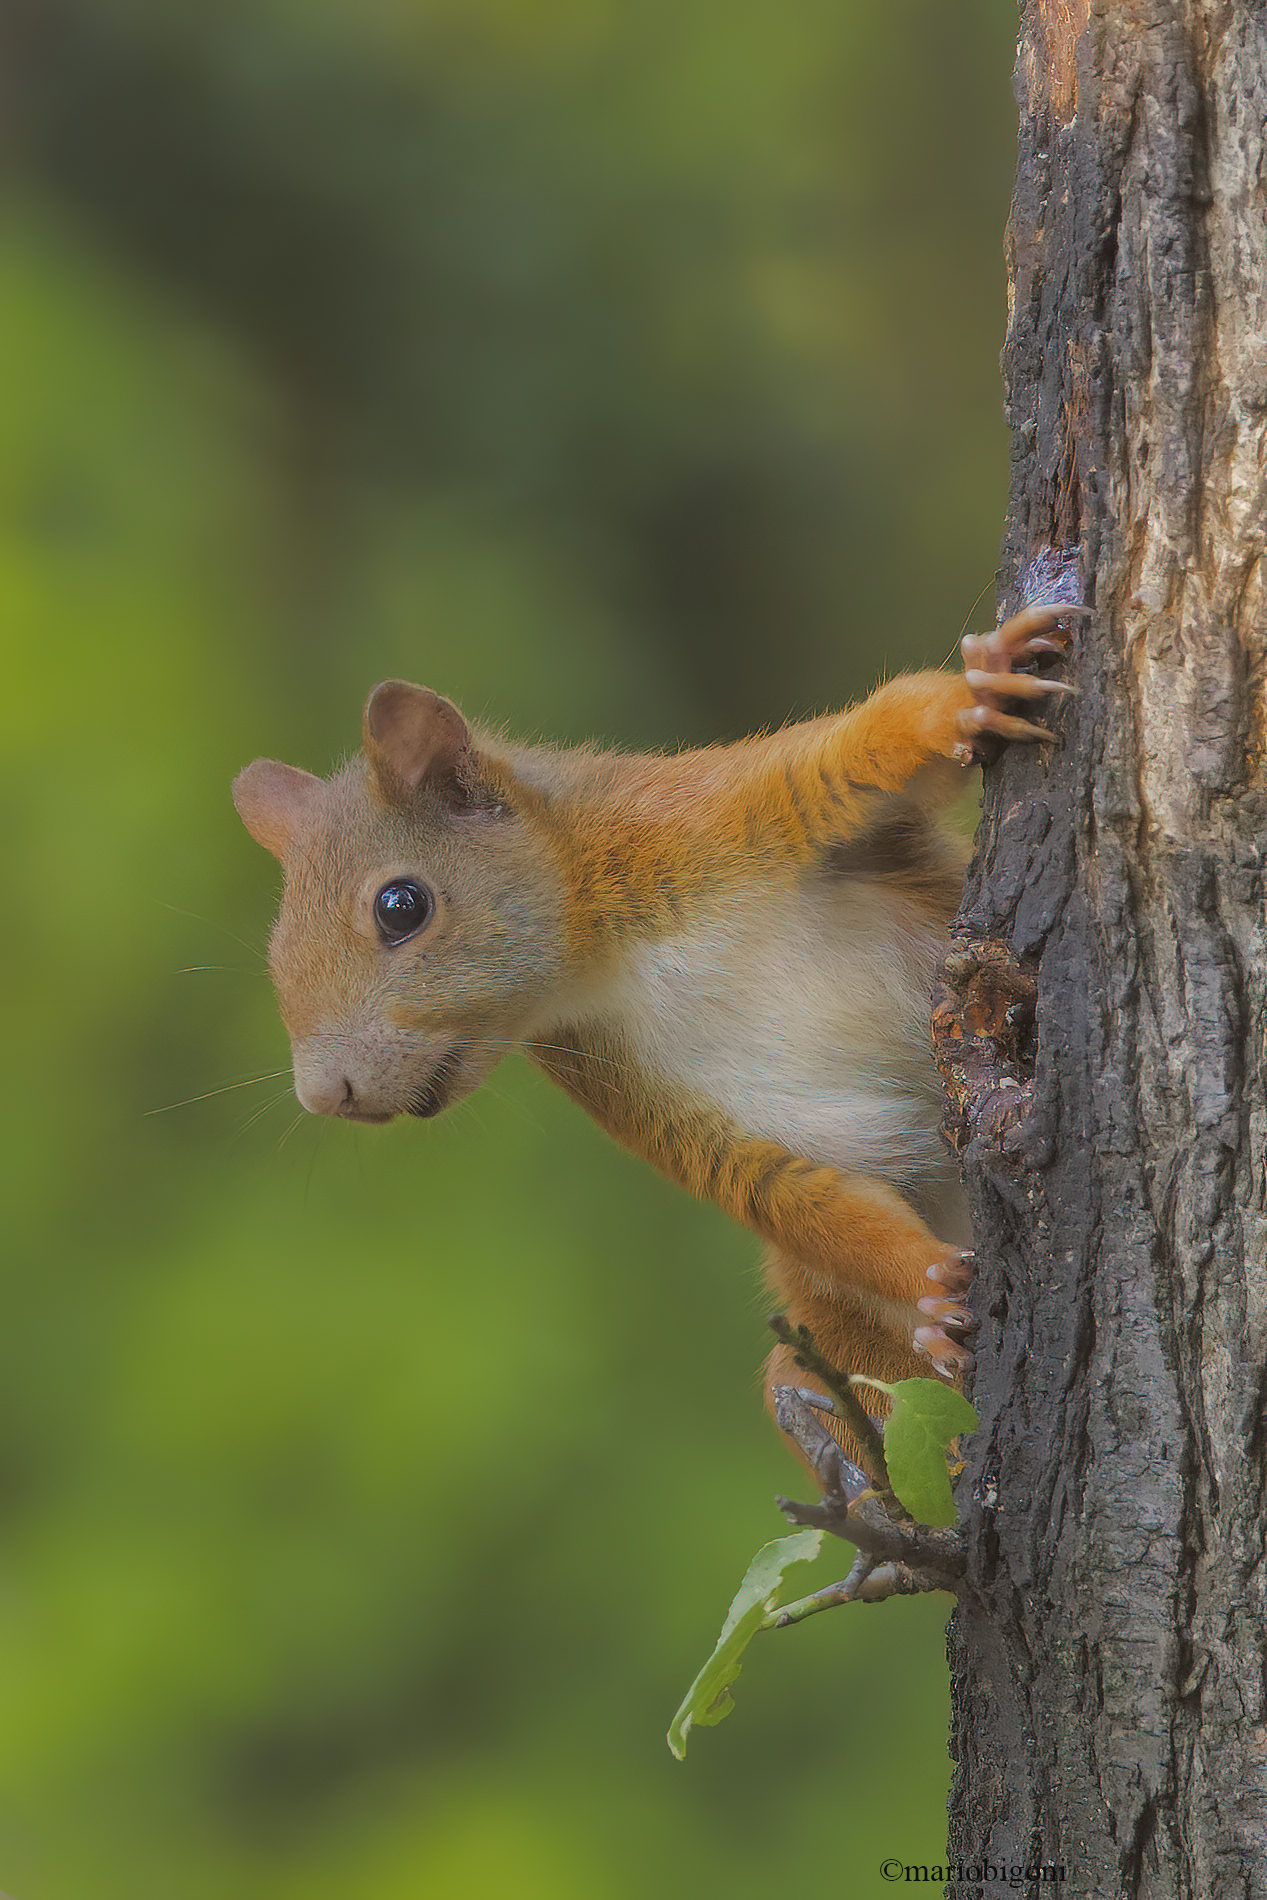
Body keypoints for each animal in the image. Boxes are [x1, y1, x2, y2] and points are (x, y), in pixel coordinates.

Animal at [233, 602, 1079, 1467]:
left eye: (401, 906)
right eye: (274, 952)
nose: (326, 1094)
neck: (607, 954)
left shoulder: (702, 814)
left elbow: (864, 755)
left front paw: (972, 691)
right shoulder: (612, 1074)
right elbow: (788, 1190)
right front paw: (930, 1285)